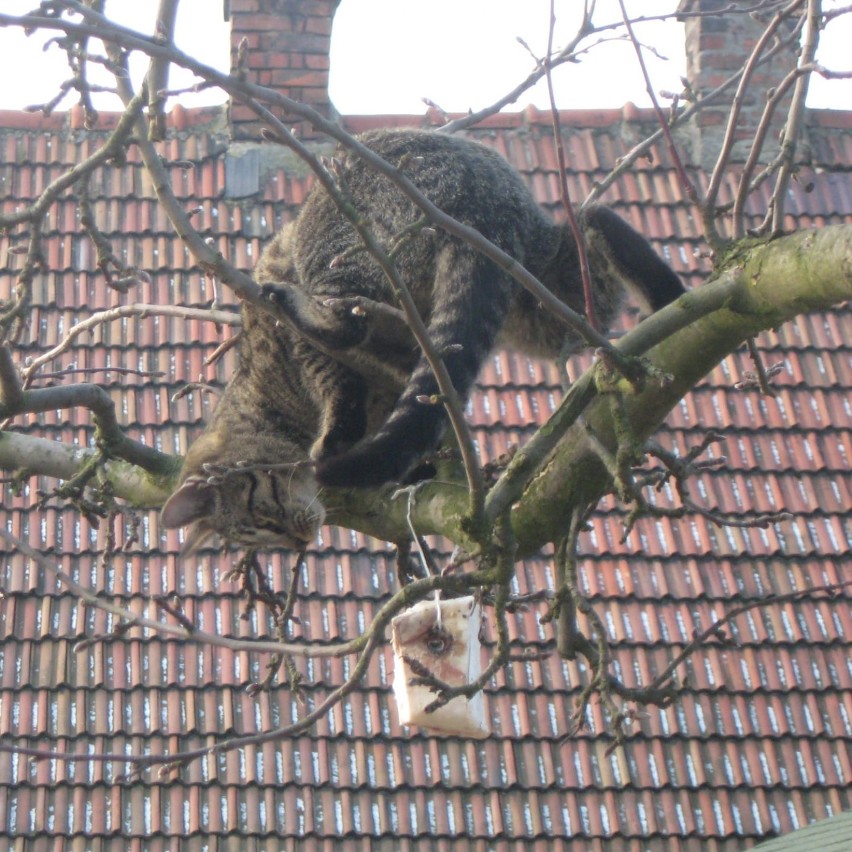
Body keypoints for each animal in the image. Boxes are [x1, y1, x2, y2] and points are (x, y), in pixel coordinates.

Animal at [161, 127, 684, 552]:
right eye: (265, 539)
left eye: (263, 516)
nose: (300, 541)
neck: (262, 401)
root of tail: (484, 204)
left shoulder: (296, 350)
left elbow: (337, 384)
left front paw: (338, 434)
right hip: (545, 294)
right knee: (596, 224)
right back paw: (671, 302)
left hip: (340, 233)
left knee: (346, 320)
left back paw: (306, 309)